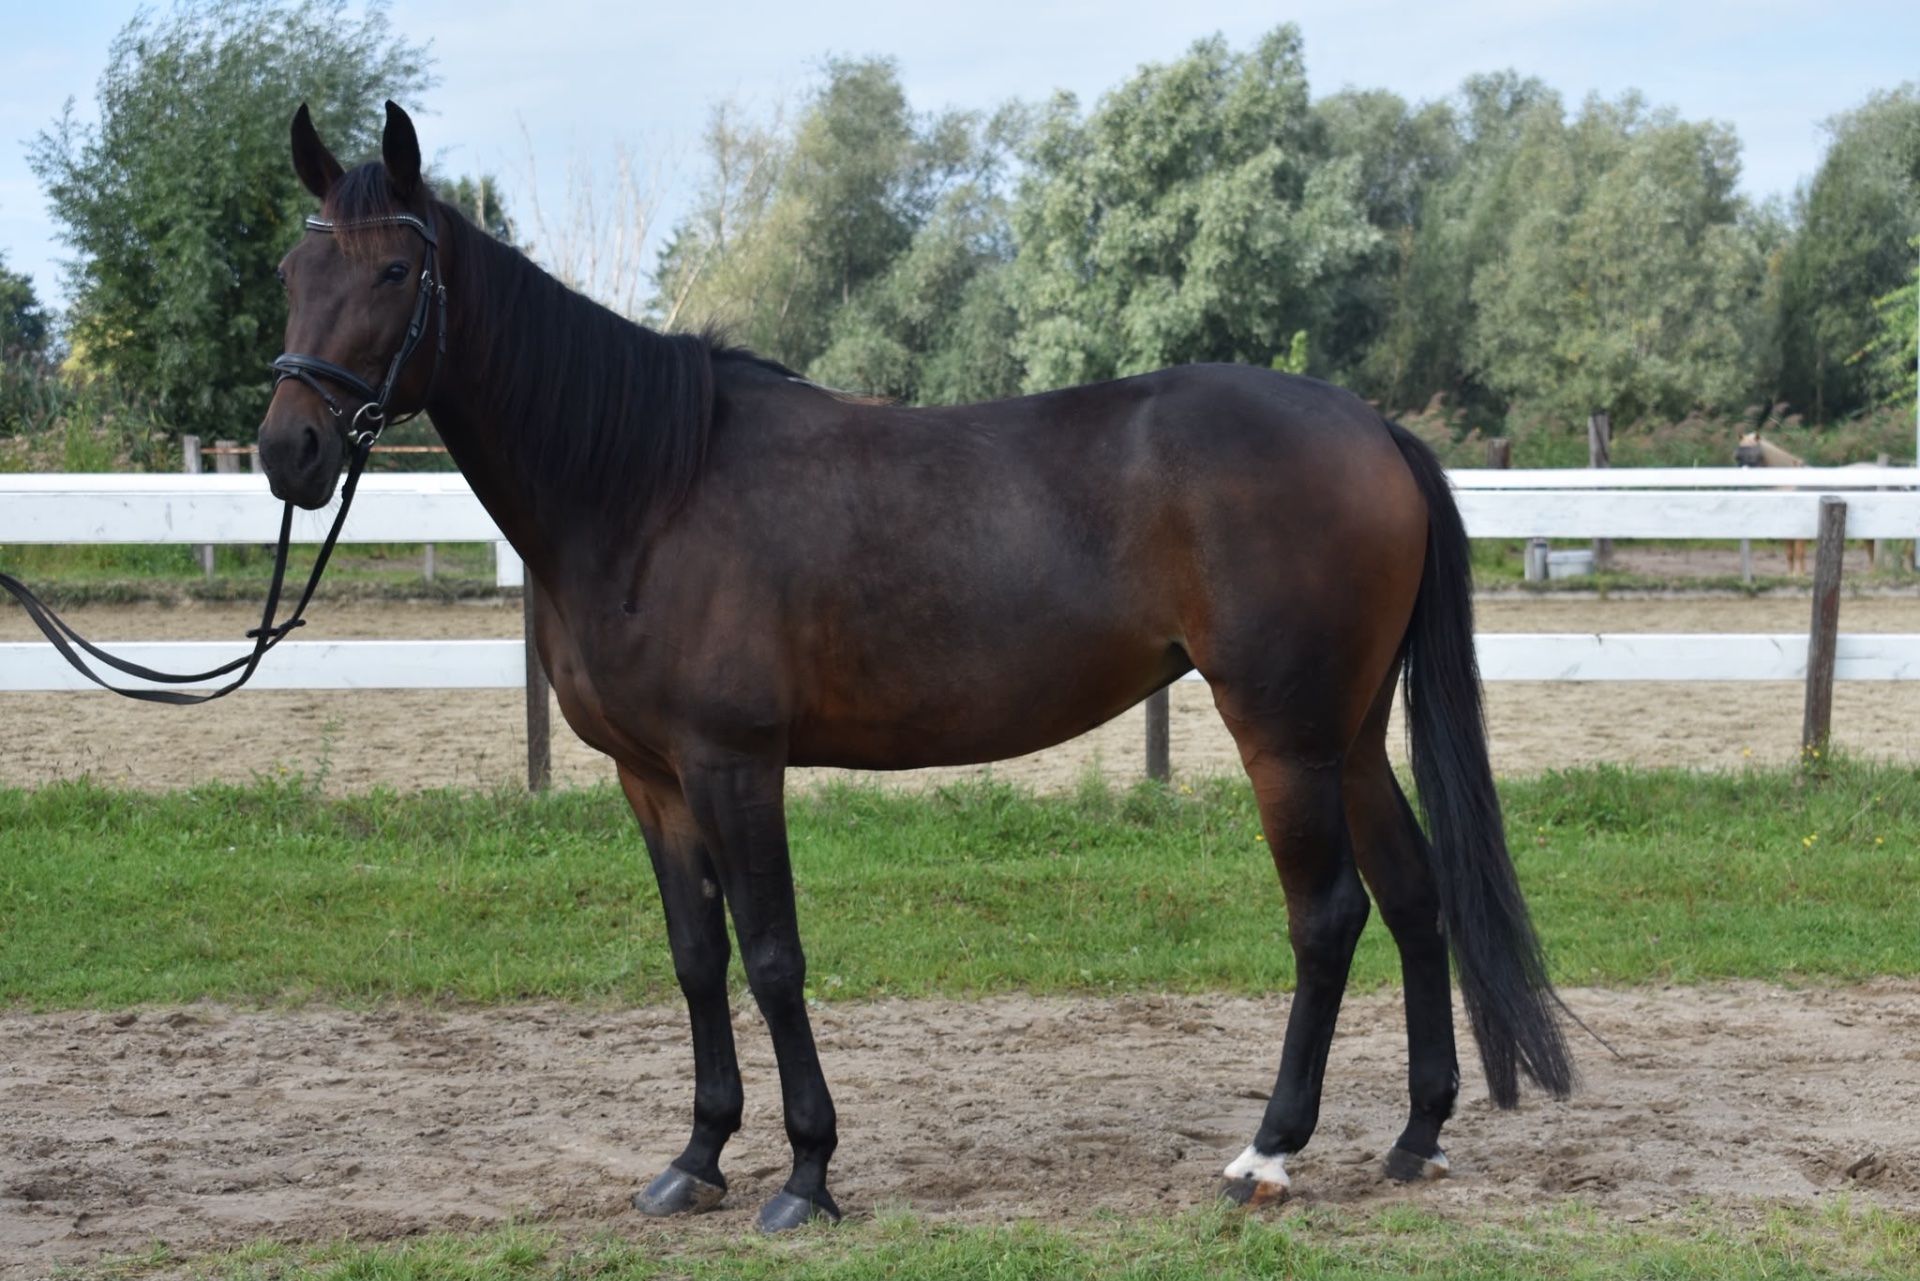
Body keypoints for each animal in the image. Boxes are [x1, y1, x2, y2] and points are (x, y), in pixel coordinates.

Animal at [257, 102, 1571, 1231]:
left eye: (394, 273)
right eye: (293, 275)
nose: (289, 451)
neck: (646, 488)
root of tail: (1375, 429)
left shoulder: (734, 765)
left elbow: (773, 957)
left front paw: (807, 1174)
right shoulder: (654, 780)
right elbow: (697, 959)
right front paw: (697, 1159)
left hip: (1284, 735)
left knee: (1329, 914)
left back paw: (1269, 1154)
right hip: (1347, 732)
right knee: (1413, 895)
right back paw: (1416, 1136)